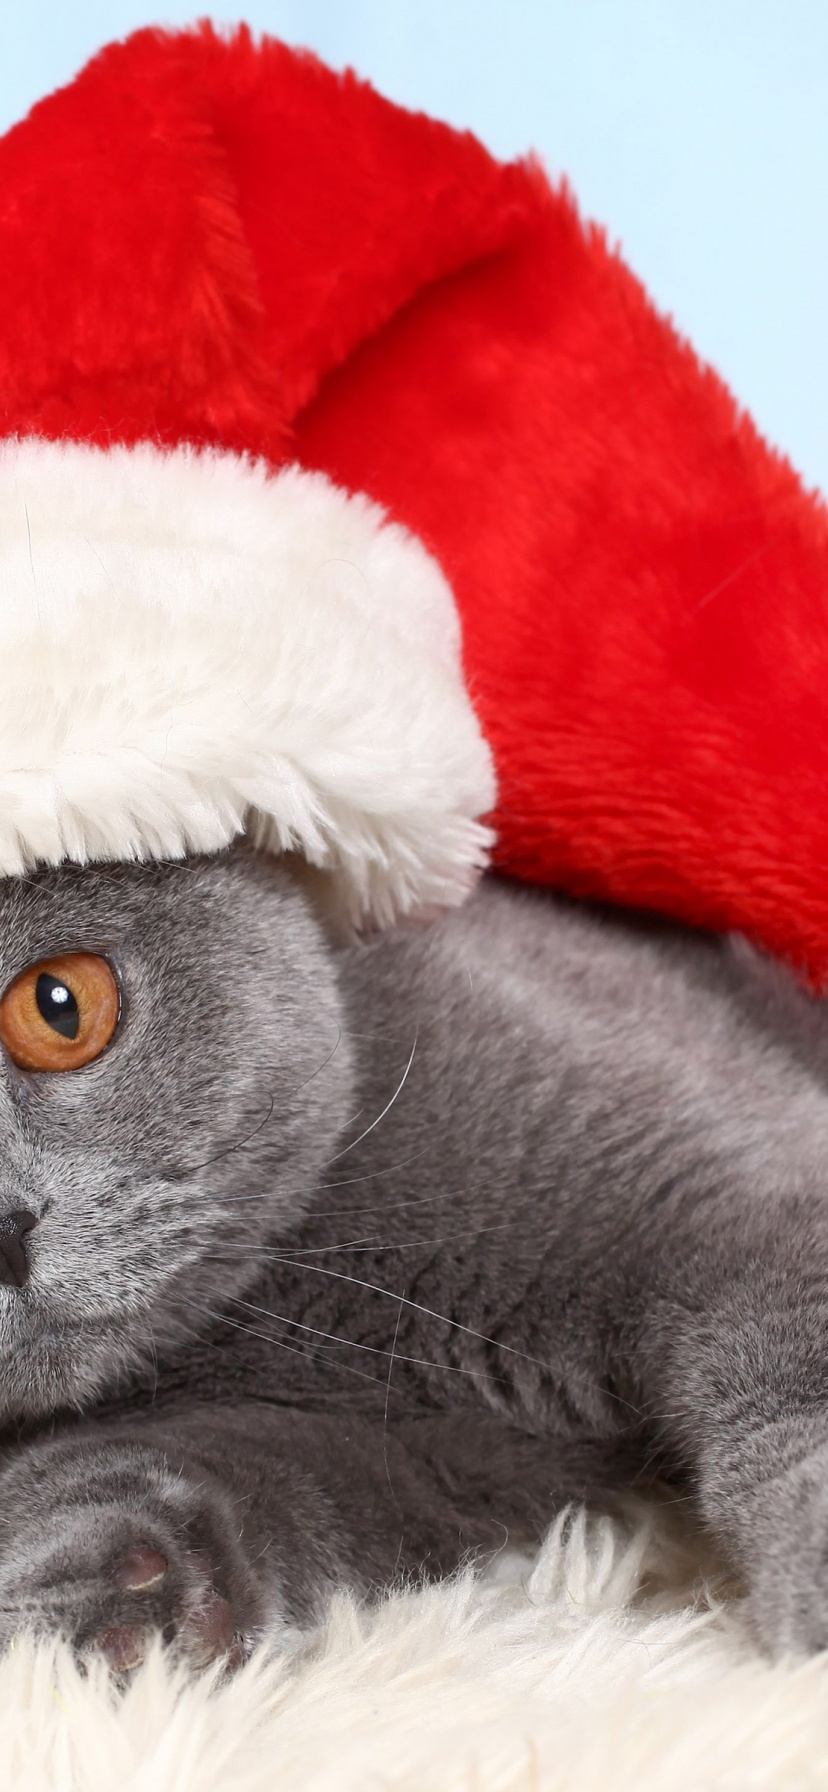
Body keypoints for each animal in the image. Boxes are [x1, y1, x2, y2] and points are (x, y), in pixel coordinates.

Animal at [0, 845, 824, 1670]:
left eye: (59, 1008)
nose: (4, 1230)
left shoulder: (731, 1199)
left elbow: (794, 1371)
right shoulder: (436, 1459)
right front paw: (103, 1607)